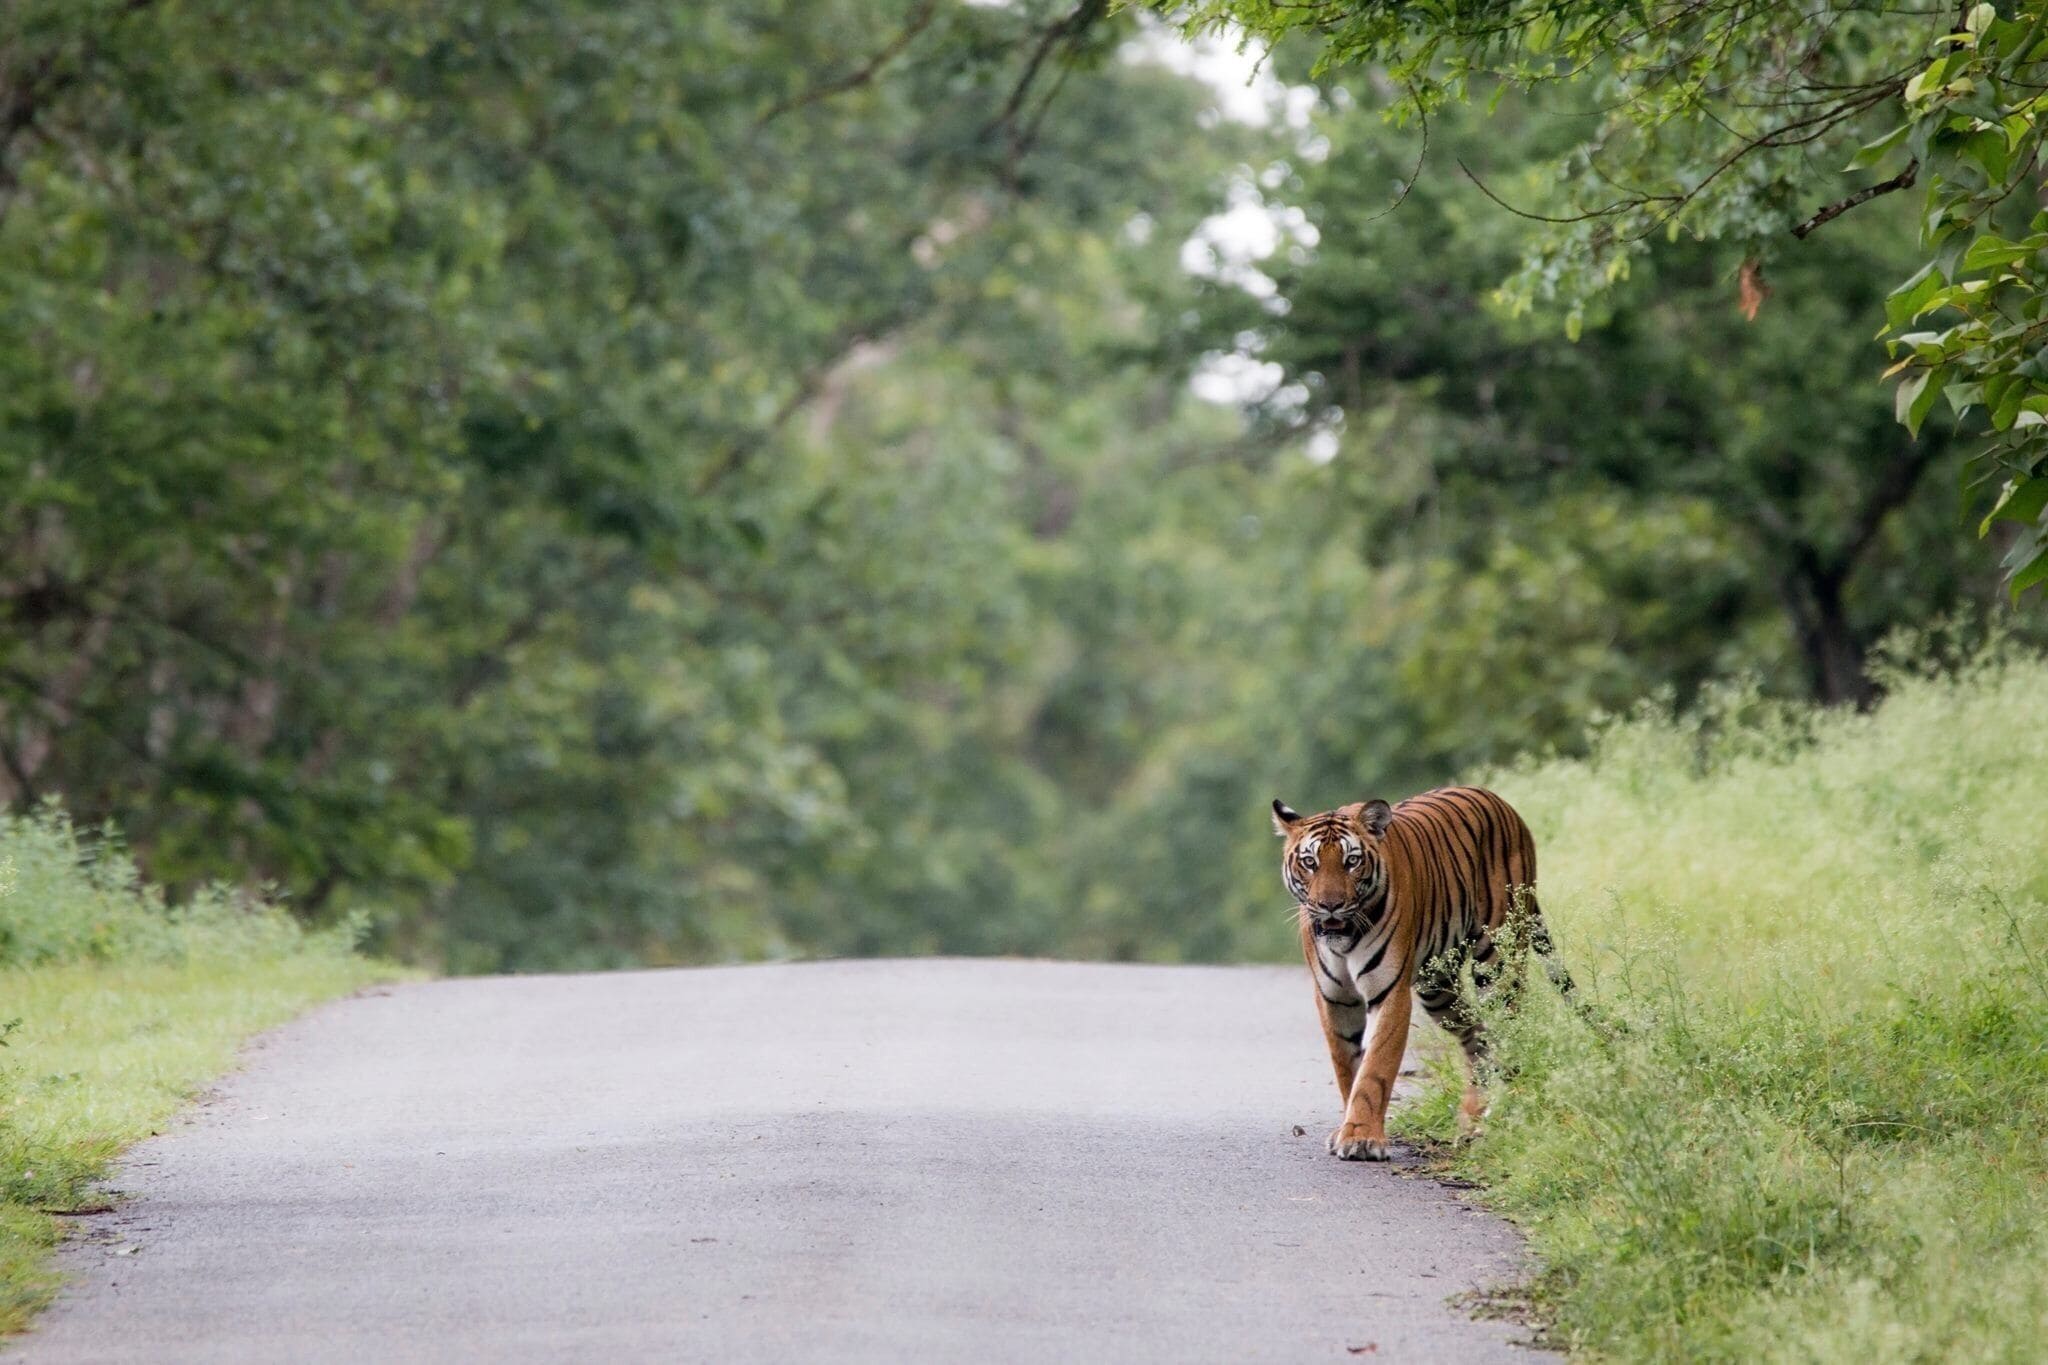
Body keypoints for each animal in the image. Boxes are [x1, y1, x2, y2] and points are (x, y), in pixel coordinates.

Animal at [1271, 786, 1574, 1161]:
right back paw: (1473, 1118)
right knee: (1477, 1036)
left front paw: (1363, 1138)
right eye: (1310, 862)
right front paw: (1347, 1129)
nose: (1330, 906)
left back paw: (1504, 1112)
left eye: (1351, 861)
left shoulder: (1390, 993)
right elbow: (1346, 1067)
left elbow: (1374, 1069)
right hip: (1439, 990)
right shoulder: (1334, 998)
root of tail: (1507, 807)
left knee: (1512, 1034)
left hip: (1498, 966)